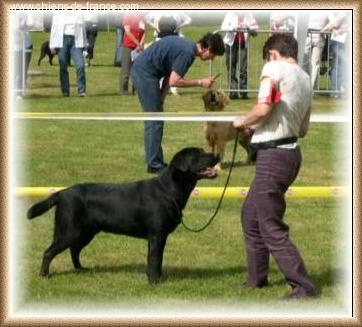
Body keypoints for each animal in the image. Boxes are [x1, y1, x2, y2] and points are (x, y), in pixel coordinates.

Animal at [27, 149, 218, 284]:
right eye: (199, 154)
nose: (217, 154)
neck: (168, 190)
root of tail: (62, 193)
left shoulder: (157, 236)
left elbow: (154, 259)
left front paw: (155, 277)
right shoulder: (157, 234)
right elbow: (156, 258)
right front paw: (154, 281)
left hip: (86, 232)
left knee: (74, 249)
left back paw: (81, 269)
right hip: (69, 230)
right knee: (49, 252)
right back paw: (44, 275)